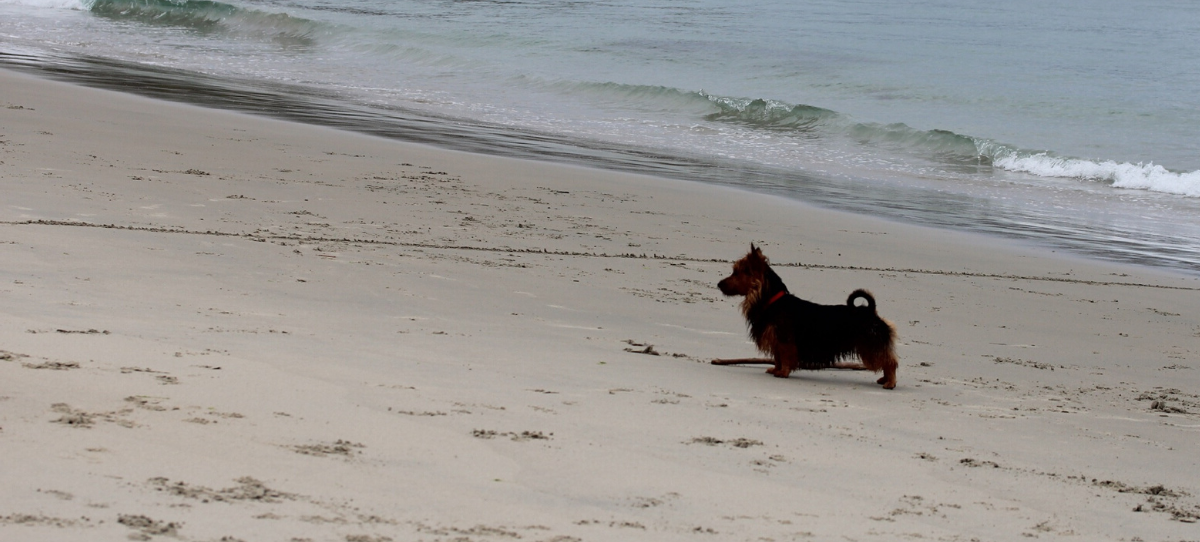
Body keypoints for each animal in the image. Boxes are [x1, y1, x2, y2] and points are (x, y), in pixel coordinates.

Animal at [712, 244, 898, 389]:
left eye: (736, 273)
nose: (719, 284)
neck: (772, 301)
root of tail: (870, 310)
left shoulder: (785, 340)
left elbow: (785, 357)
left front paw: (783, 372)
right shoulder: (776, 340)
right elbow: (777, 358)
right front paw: (776, 370)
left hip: (871, 345)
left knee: (890, 362)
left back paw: (890, 382)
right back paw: (884, 379)